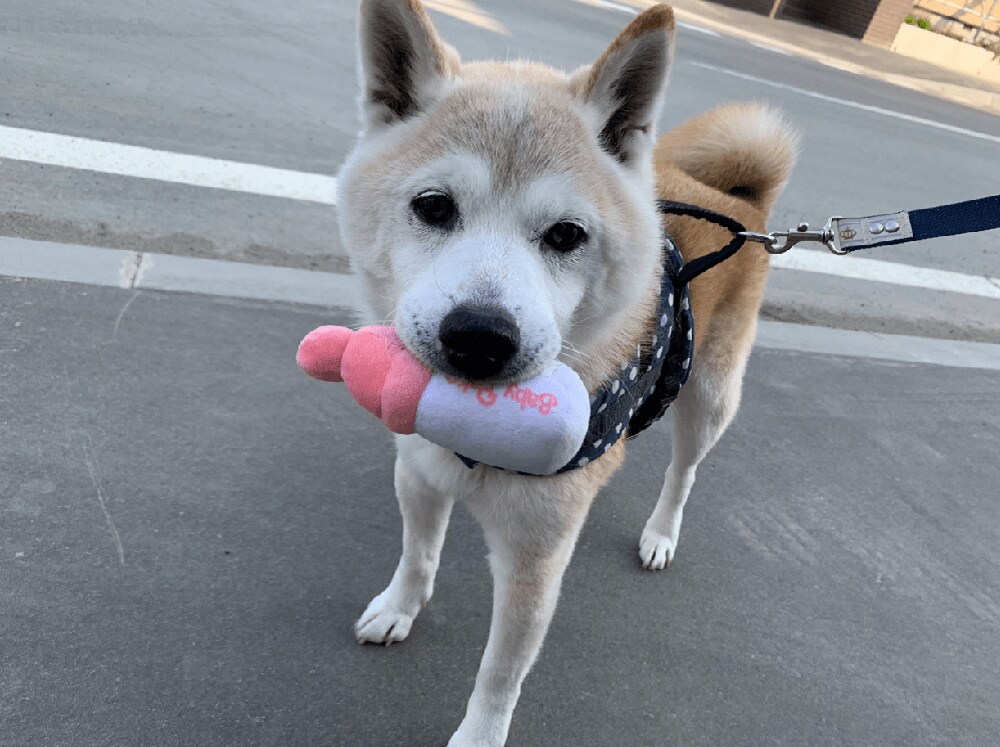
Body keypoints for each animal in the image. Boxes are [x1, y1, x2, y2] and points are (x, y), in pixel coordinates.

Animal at [334, 1, 796, 744]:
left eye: (566, 235)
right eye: (433, 205)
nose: (479, 336)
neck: (475, 437)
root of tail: (740, 206)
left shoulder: (535, 562)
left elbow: (500, 674)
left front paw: (479, 735)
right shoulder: (418, 472)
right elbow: (418, 555)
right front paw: (399, 607)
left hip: (710, 395)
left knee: (684, 471)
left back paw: (662, 533)